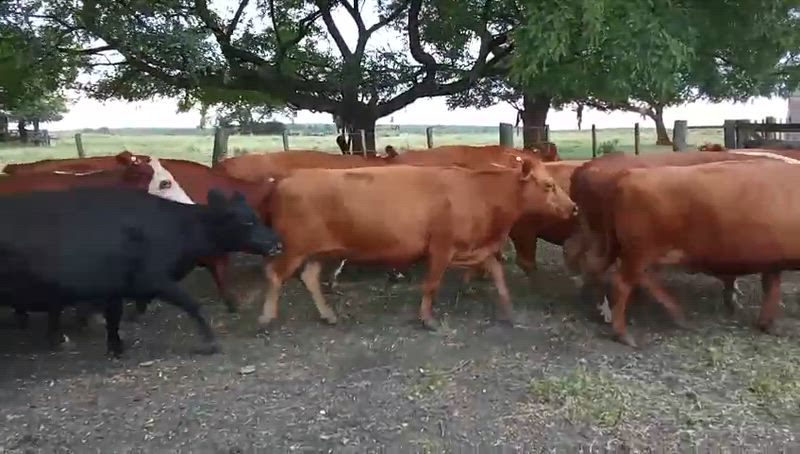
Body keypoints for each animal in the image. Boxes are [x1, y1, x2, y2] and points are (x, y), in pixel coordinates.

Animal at [0, 186, 282, 356]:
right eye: (246, 221)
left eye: (256, 216)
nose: (277, 243)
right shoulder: (154, 278)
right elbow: (192, 304)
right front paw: (211, 341)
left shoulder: (115, 288)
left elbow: (115, 317)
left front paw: (115, 346)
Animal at [257, 158, 577, 330]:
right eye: (548, 185)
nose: (573, 207)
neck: (479, 193)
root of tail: (287, 178)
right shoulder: (441, 247)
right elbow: (431, 284)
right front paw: (427, 319)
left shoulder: (476, 248)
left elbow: (498, 276)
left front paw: (509, 312)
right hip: (294, 246)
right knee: (273, 273)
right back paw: (266, 317)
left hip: (318, 251)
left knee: (310, 277)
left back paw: (328, 315)